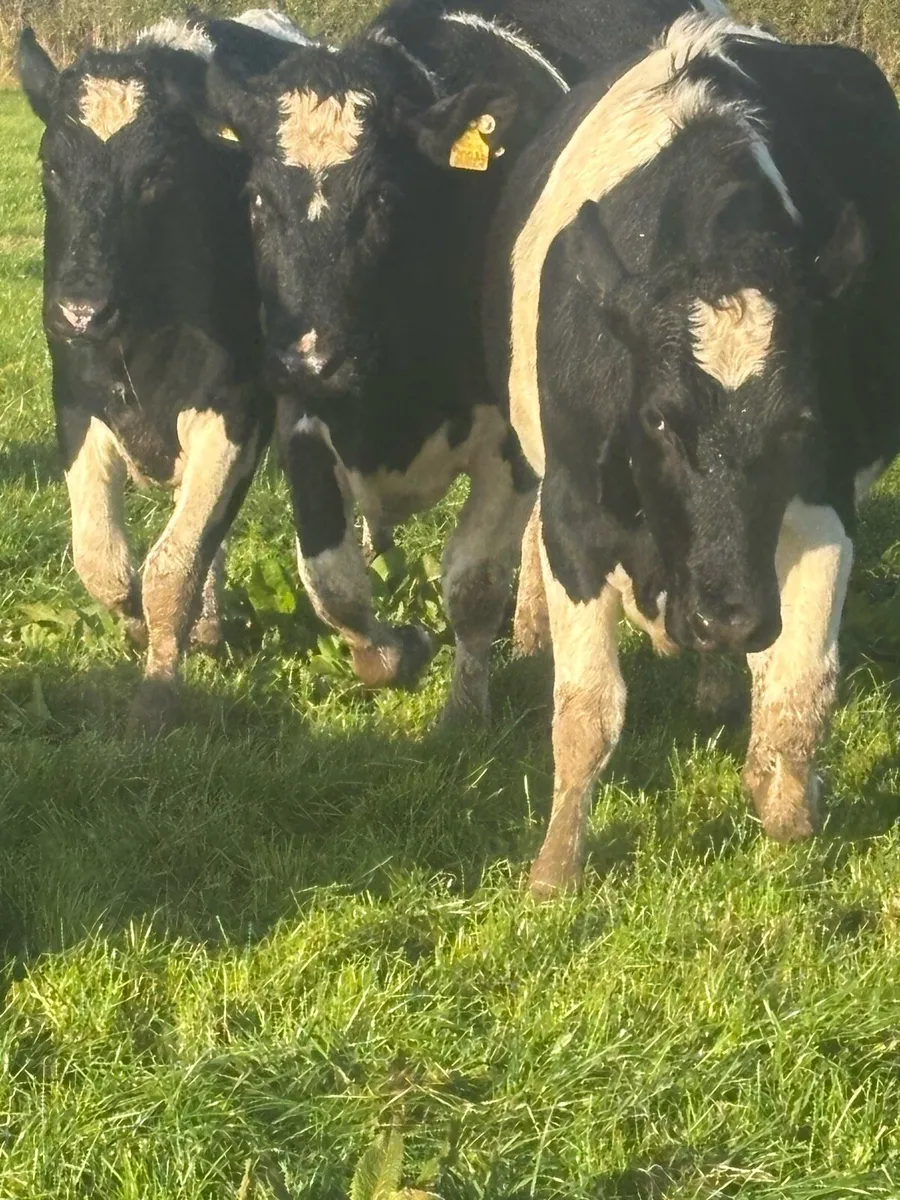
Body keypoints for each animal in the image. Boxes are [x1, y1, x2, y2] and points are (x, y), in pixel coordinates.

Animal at [17, 16, 278, 732]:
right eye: (53, 164)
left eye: (158, 172)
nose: (81, 309)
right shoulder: (75, 406)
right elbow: (102, 560)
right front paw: (137, 627)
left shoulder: (236, 413)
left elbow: (171, 566)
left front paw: (159, 689)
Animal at [197, 0, 711, 723]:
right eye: (258, 200)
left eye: (382, 199)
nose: (313, 360)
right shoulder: (304, 419)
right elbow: (332, 580)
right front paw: (391, 652)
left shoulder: (509, 445)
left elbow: (472, 584)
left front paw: (465, 711)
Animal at [485, 13, 900, 895]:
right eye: (658, 420)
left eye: (799, 421)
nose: (727, 613)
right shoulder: (575, 511)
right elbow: (587, 708)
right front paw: (556, 868)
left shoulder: (823, 504)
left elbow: (798, 683)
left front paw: (787, 815)